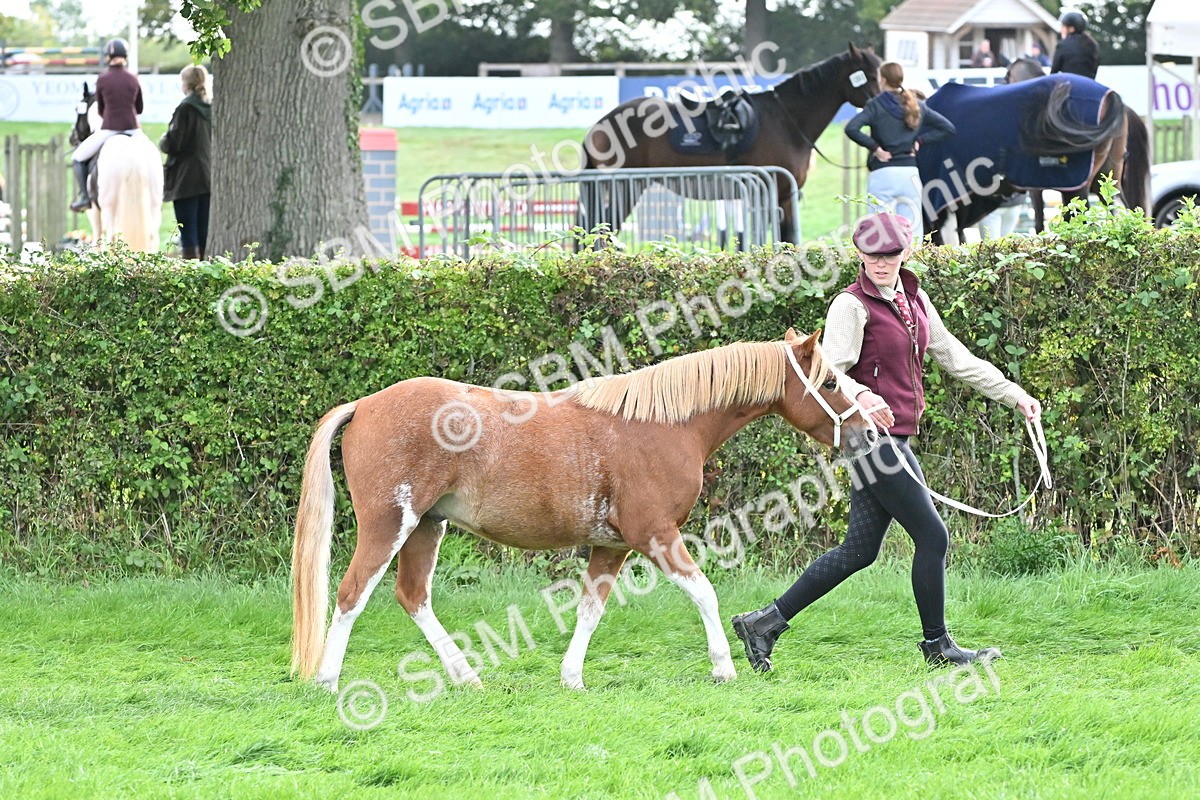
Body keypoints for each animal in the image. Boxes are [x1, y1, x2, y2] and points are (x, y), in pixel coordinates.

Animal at [70, 83, 163, 252]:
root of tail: (132, 154)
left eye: (77, 110)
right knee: (153, 237)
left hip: (108, 207)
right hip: (154, 205)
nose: (72, 137)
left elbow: (97, 237)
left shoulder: (93, 210)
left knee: (111, 237)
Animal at [291, 329, 878, 693]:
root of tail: (364, 405)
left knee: (413, 597)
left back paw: (466, 677)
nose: (871, 430)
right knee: (351, 594)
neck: (664, 425)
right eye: (829, 382)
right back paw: (328, 681)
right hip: (389, 525)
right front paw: (724, 668)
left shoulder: (611, 546)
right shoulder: (655, 535)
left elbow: (590, 610)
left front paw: (572, 676)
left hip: (426, 527)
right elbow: (705, 592)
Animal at [578, 44, 882, 247]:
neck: (786, 120)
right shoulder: (772, 191)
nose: (884, 102)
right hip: (624, 188)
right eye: (869, 74)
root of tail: (599, 126)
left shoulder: (783, 195)